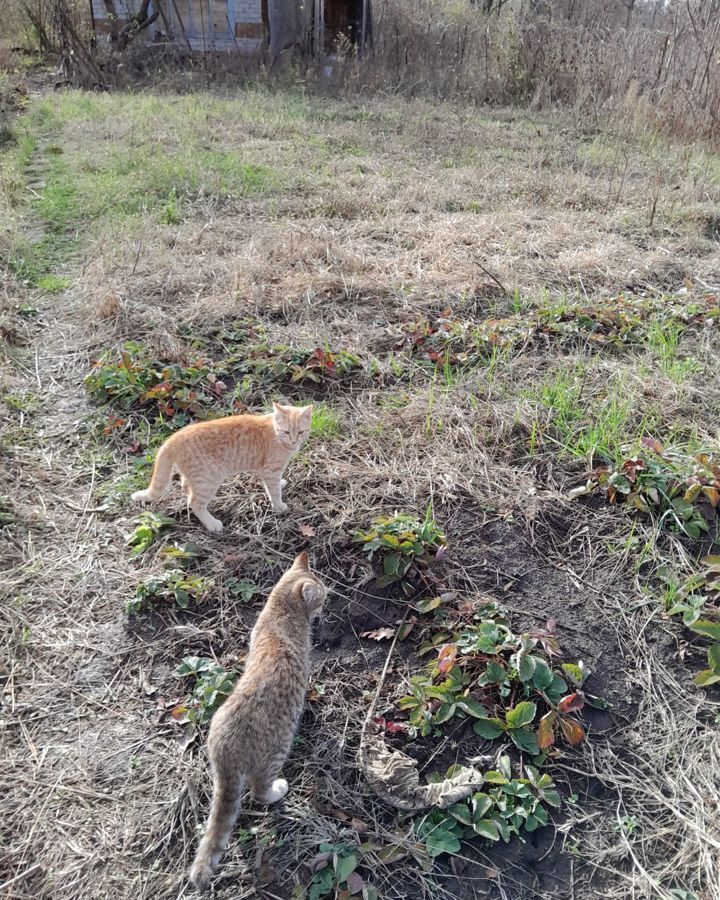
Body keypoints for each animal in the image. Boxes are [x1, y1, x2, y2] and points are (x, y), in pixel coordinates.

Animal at [131, 402, 310, 536]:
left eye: (301, 432)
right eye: (286, 432)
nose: (294, 441)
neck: (276, 434)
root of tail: (174, 437)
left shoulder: (268, 471)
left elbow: (271, 485)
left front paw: (281, 484)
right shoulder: (270, 470)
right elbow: (273, 491)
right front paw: (279, 506)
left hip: (195, 477)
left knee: (185, 487)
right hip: (208, 479)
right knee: (194, 503)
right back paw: (212, 524)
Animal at [190, 552, 328, 888]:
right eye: (322, 596)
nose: (326, 604)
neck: (279, 612)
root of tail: (224, 749)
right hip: (276, 751)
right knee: (259, 792)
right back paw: (278, 790)